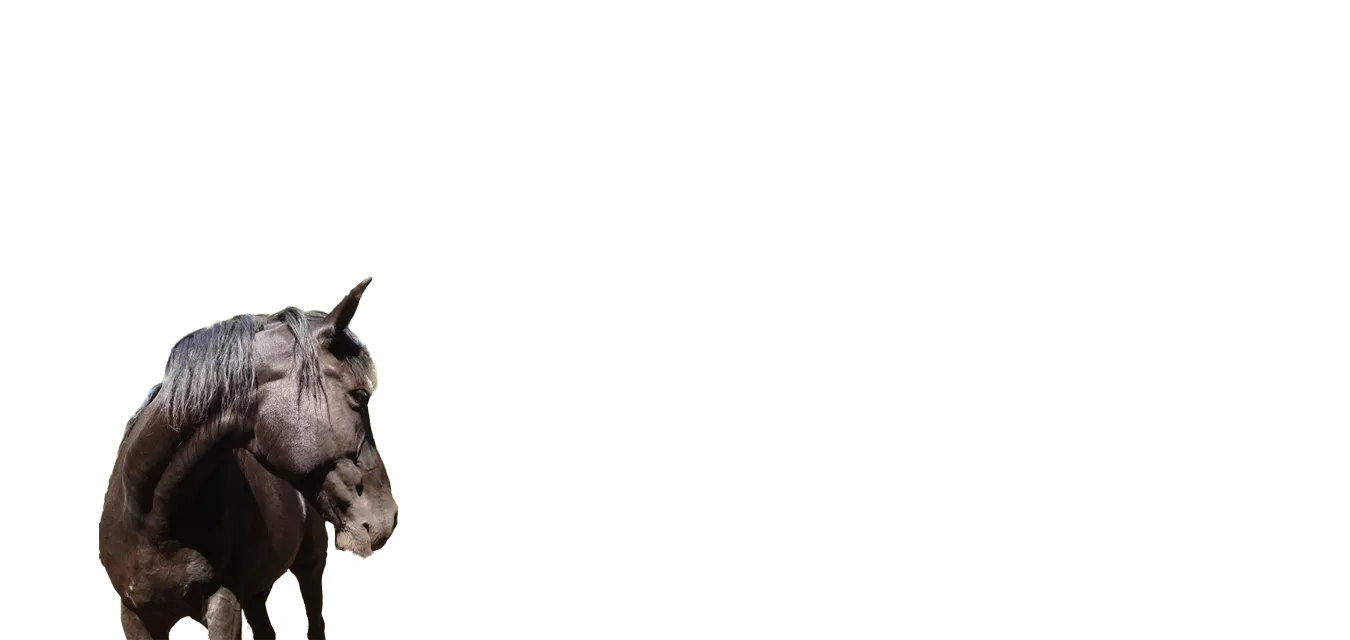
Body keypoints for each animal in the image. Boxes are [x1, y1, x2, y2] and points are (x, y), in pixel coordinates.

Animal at [98, 279, 398, 639]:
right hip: (255, 593)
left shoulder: (224, 604)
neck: (150, 515)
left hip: (309, 570)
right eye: (359, 395)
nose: (387, 517)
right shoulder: (136, 616)